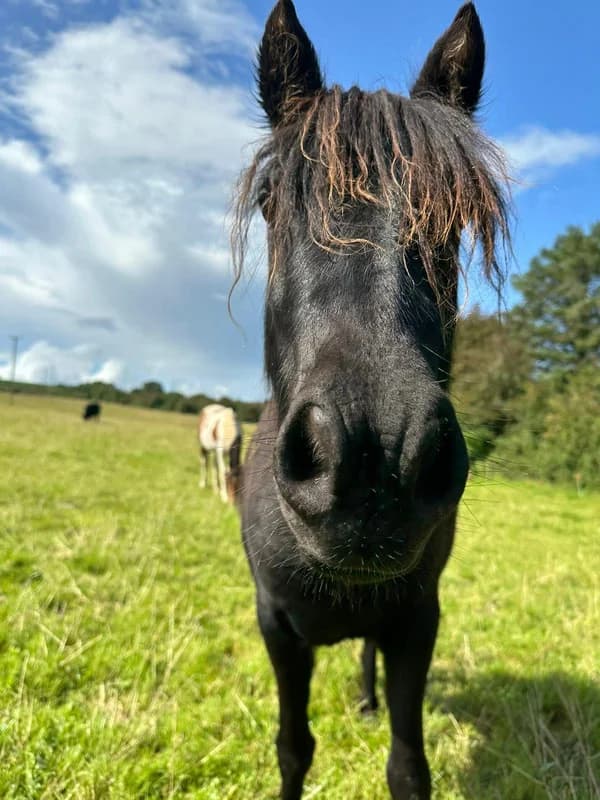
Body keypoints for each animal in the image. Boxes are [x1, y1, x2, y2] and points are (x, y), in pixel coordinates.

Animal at [233, 2, 510, 798]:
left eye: (457, 214)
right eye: (269, 200)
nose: (377, 455)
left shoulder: (417, 622)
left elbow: (407, 765)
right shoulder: (277, 628)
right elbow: (293, 748)